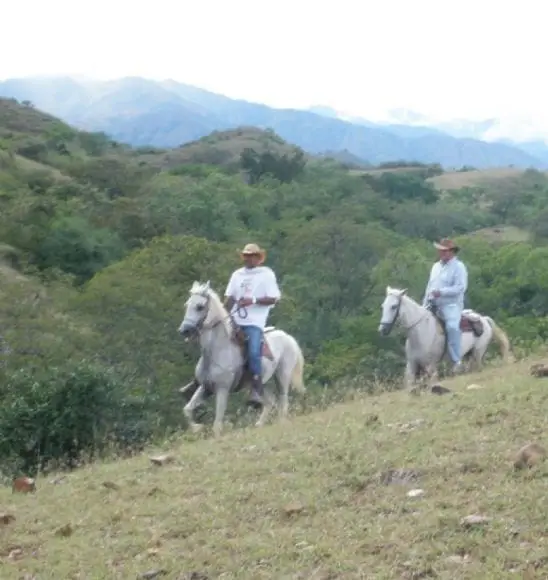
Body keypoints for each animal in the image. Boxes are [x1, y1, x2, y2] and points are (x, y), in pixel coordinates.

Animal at [177, 280, 304, 436]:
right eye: (187, 305)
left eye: (200, 307)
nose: (184, 330)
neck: (216, 351)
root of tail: (287, 337)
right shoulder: (205, 387)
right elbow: (187, 409)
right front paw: (197, 427)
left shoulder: (222, 389)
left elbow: (217, 424)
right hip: (261, 384)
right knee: (269, 401)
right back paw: (259, 424)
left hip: (282, 375)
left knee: (283, 400)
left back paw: (280, 422)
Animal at [378, 286, 512, 390]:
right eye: (383, 306)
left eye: (394, 306)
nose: (382, 330)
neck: (421, 332)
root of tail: (483, 319)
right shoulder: (411, 366)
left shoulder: (431, 367)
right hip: (469, 356)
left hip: (478, 353)